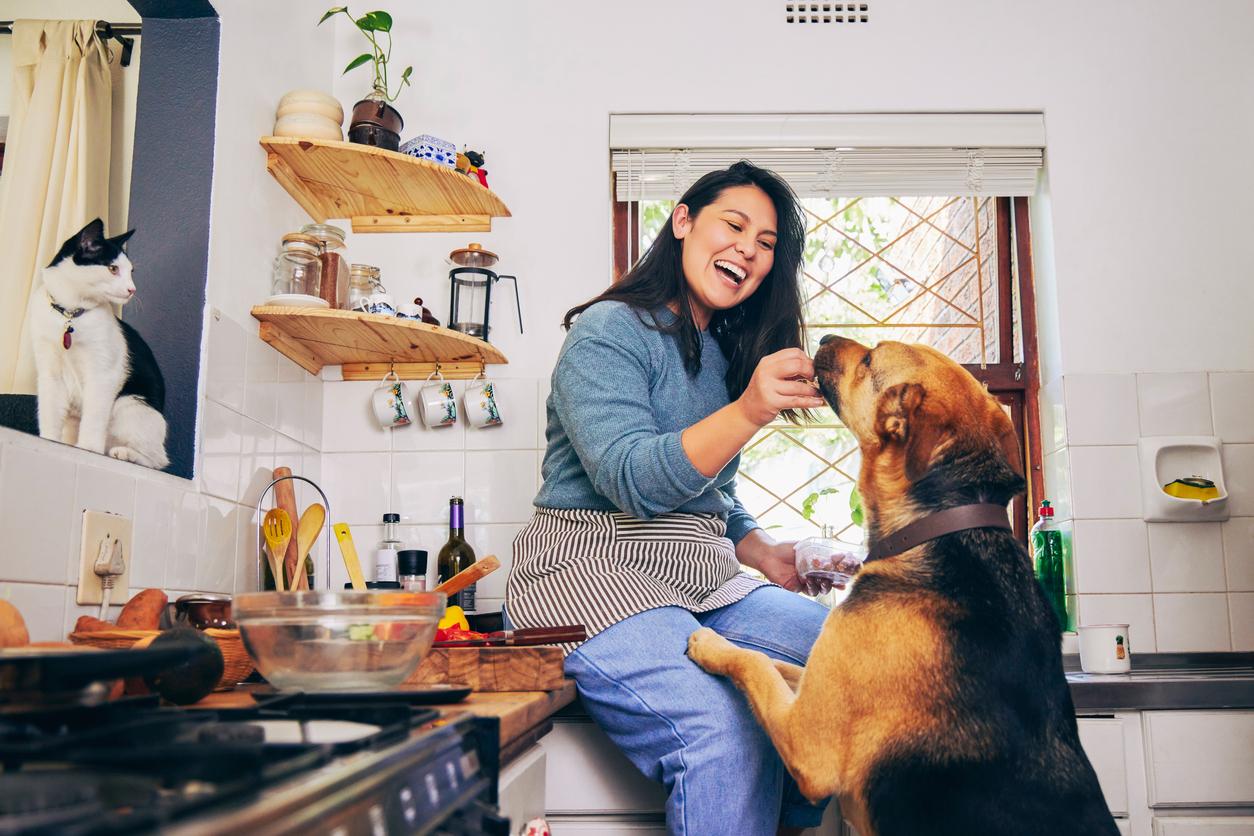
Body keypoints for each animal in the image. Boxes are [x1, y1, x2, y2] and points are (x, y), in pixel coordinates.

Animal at [29, 220, 169, 471]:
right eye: (113, 269)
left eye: (131, 272)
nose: (132, 289)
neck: (70, 314)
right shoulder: (49, 373)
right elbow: (49, 412)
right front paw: (49, 440)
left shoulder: (103, 374)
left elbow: (94, 416)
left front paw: (88, 448)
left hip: (128, 406)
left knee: (157, 460)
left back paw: (125, 453)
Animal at [687, 335, 1118, 832]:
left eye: (870, 358)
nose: (824, 338)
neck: (941, 525)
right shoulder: (821, 683)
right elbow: (780, 665)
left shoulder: (810, 744)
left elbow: (756, 662)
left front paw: (711, 643)